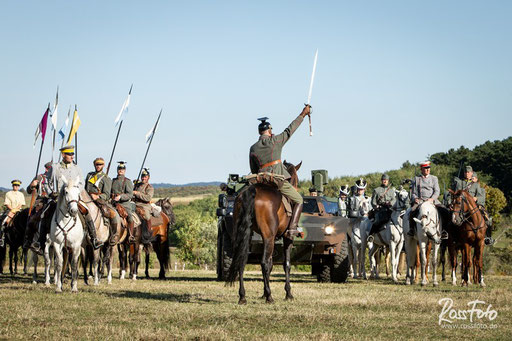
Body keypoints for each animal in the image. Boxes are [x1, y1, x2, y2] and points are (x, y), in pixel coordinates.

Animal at [227, 161, 300, 304]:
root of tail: (253, 191)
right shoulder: (286, 238)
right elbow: (286, 264)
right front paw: (288, 293)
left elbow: (271, 264)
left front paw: (263, 293)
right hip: (268, 237)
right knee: (264, 263)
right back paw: (270, 297)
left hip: (244, 236)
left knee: (241, 260)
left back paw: (242, 296)